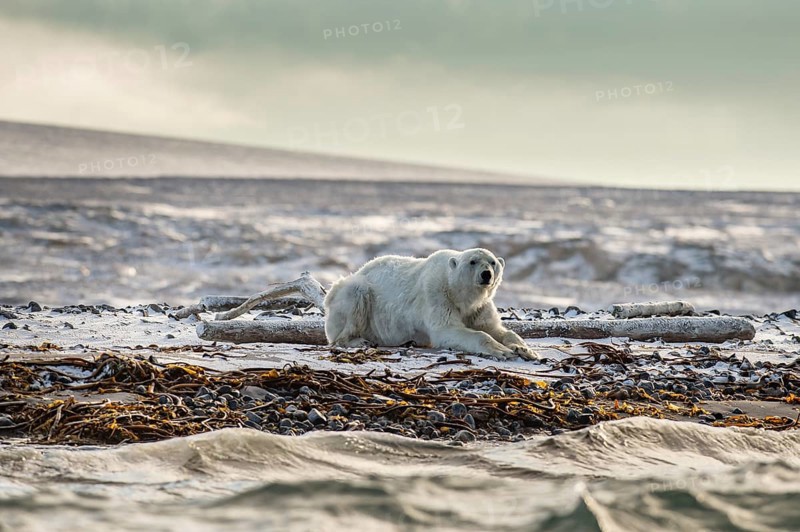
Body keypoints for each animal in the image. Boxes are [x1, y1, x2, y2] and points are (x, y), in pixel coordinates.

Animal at [324, 248, 537, 360]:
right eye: (473, 261)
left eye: (493, 262)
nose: (486, 275)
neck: (459, 294)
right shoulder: (437, 295)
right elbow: (447, 329)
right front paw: (503, 351)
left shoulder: (479, 307)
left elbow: (494, 328)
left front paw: (526, 350)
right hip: (355, 293)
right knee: (354, 300)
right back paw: (357, 341)